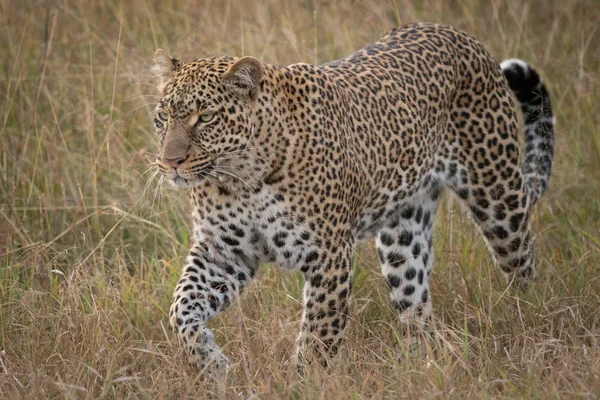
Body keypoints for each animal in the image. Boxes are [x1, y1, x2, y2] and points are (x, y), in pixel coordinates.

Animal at [150, 21, 552, 372]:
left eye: (206, 118)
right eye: (162, 116)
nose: (169, 162)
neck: (241, 177)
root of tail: (458, 33)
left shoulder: (328, 255)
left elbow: (318, 336)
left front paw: (304, 383)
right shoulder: (224, 253)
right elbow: (180, 309)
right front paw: (212, 364)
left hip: (498, 197)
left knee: (524, 267)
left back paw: (529, 326)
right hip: (402, 238)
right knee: (417, 310)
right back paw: (422, 367)